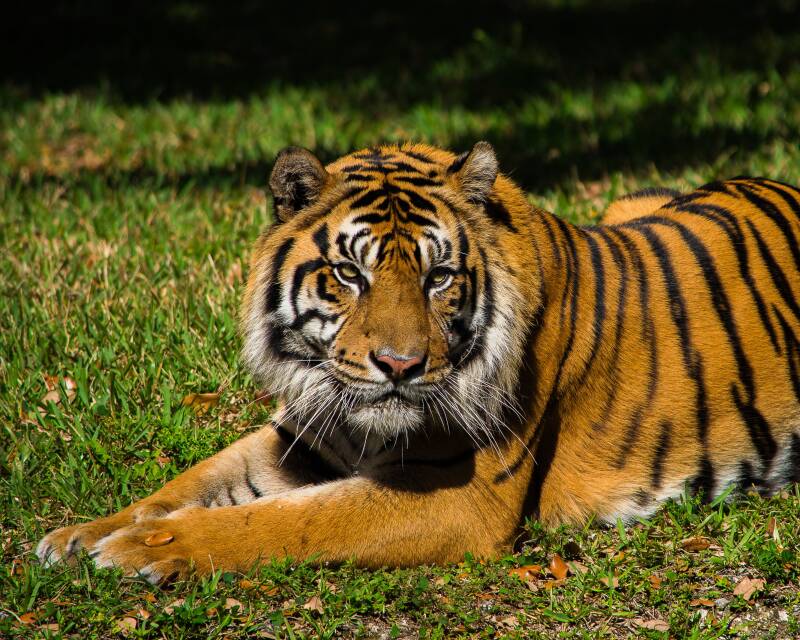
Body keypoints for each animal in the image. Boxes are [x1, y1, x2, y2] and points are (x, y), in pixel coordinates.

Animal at [37, 142, 800, 583]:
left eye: (439, 279)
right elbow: (191, 482)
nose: (399, 366)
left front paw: (145, 548)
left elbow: (288, 520)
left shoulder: (459, 495)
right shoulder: (305, 433)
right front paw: (84, 535)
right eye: (350, 274)